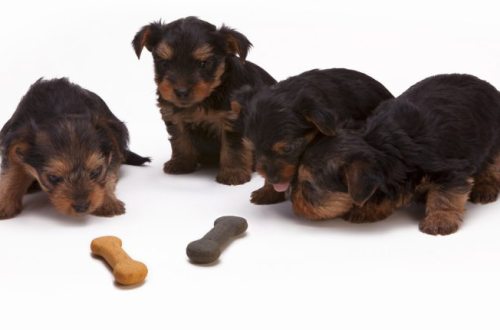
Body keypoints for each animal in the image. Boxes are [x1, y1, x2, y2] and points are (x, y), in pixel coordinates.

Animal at [0, 78, 149, 219]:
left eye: (96, 172)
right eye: (53, 177)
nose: (82, 207)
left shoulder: (112, 150)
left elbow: (109, 175)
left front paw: (107, 202)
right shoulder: (14, 145)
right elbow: (11, 174)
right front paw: (4, 203)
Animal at [131, 16, 276, 186]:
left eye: (203, 63)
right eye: (164, 63)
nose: (181, 92)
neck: (207, 97)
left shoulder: (233, 119)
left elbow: (234, 146)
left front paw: (233, 173)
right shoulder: (174, 116)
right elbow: (179, 139)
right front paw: (181, 163)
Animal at [292, 74, 500, 236]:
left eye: (308, 186)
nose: (292, 199)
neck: (379, 144)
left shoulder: (450, 170)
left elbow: (445, 195)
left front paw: (440, 219)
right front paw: (368, 209)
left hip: (494, 142)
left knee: (492, 166)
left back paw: (485, 188)